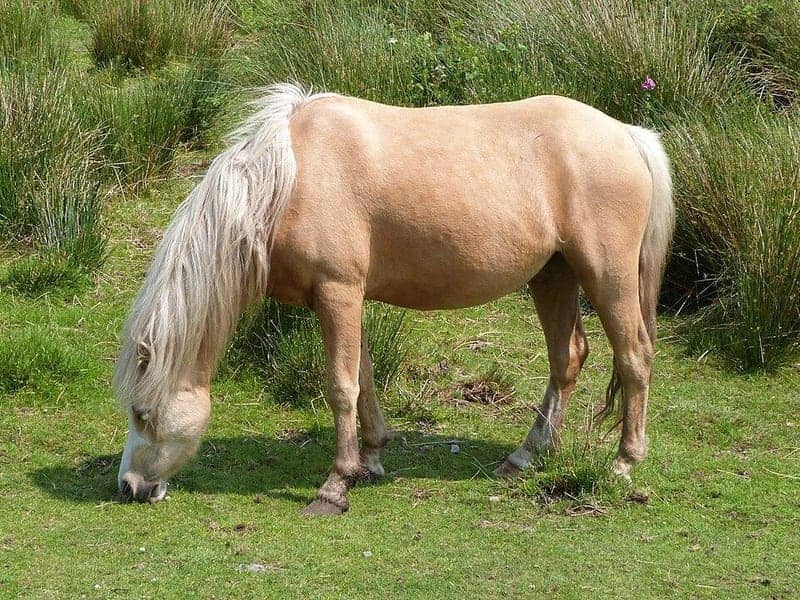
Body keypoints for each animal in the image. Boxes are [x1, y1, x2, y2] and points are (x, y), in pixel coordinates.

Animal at [112, 84, 674, 515]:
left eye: (142, 413)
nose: (130, 488)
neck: (290, 180)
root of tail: (628, 134)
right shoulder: (344, 298)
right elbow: (362, 378)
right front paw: (372, 458)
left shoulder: (338, 291)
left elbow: (341, 386)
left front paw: (335, 485)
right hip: (553, 276)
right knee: (567, 358)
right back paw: (525, 458)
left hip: (607, 275)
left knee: (634, 357)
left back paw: (624, 462)